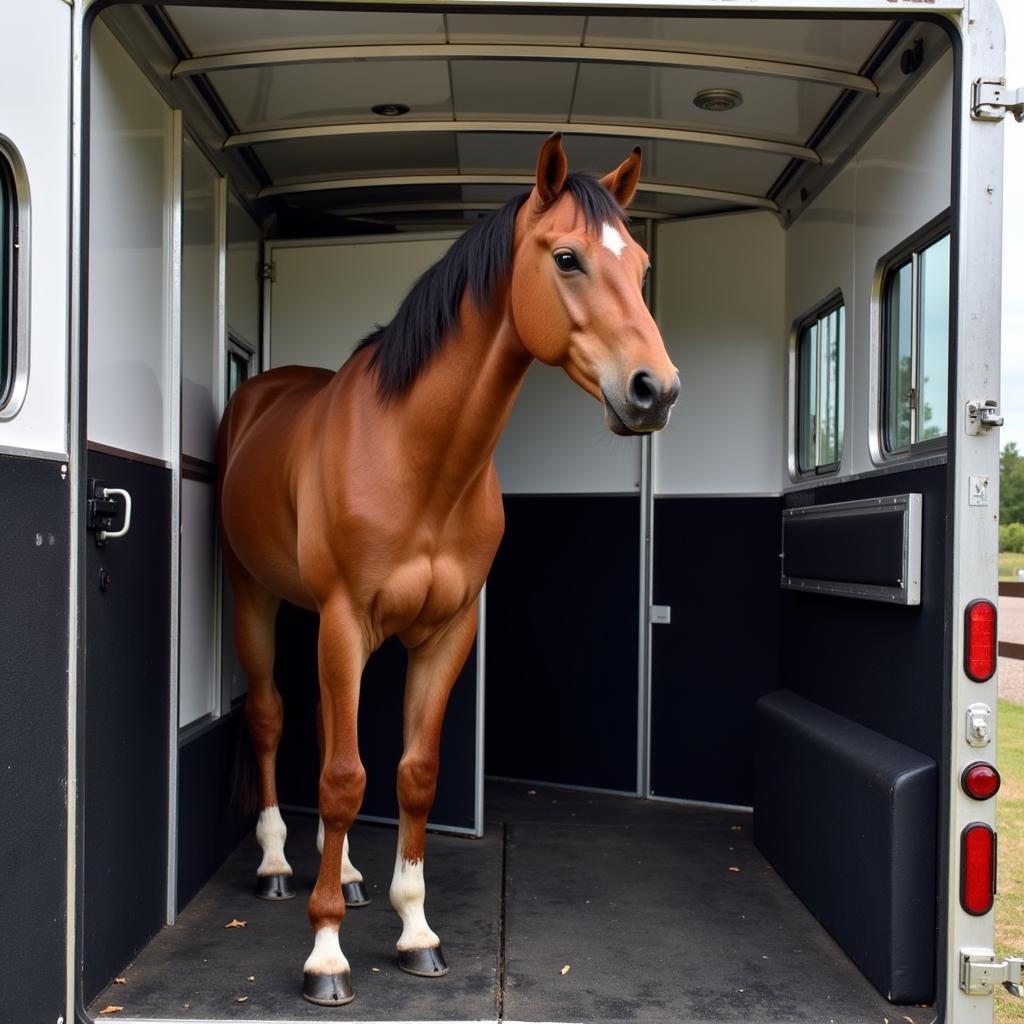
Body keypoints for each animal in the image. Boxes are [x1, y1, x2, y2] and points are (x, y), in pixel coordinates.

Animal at [216, 132, 679, 1003]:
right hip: (253, 596)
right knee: (268, 718)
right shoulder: (343, 622)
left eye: (638, 265)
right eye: (567, 257)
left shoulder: (446, 632)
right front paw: (325, 952)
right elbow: (341, 778)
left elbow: (413, 774)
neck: (417, 458)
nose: (655, 390)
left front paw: (414, 929)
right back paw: (275, 865)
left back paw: (349, 876)